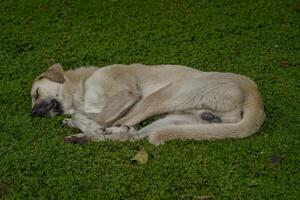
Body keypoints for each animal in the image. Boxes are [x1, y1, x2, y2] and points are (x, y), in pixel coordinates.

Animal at [31, 63, 264, 145]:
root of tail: (253, 91)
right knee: (131, 135)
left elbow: (95, 118)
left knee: (127, 128)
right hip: (174, 120)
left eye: (35, 93)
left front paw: (89, 124)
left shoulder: (127, 95)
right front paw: (78, 124)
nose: (33, 114)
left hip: (164, 95)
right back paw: (84, 137)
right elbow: (85, 115)